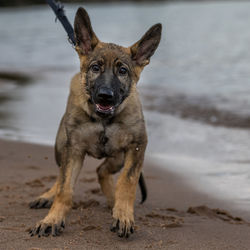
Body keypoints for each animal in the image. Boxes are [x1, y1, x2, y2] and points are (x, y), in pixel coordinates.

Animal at [28, 7, 162, 238]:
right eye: (95, 68)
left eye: (123, 71)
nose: (105, 96)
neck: (104, 120)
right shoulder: (73, 150)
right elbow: (65, 188)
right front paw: (52, 219)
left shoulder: (137, 146)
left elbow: (127, 182)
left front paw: (123, 215)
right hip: (60, 147)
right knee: (63, 176)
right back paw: (48, 196)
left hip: (119, 156)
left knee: (103, 171)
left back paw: (113, 202)